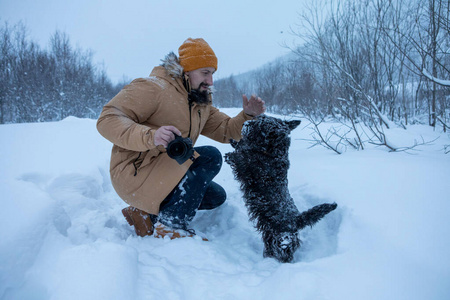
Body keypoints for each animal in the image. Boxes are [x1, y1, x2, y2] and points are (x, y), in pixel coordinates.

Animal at [225, 115, 338, 262]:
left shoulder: (252, 171)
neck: (273, 152)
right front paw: (235, 142)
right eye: (259, 117)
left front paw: (231, 155)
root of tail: (296, 221)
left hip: (283, 240)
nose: (245, 123)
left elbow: (244, 158)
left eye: (261, 125)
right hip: (270, 235)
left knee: (285, 254)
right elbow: (243, 148)